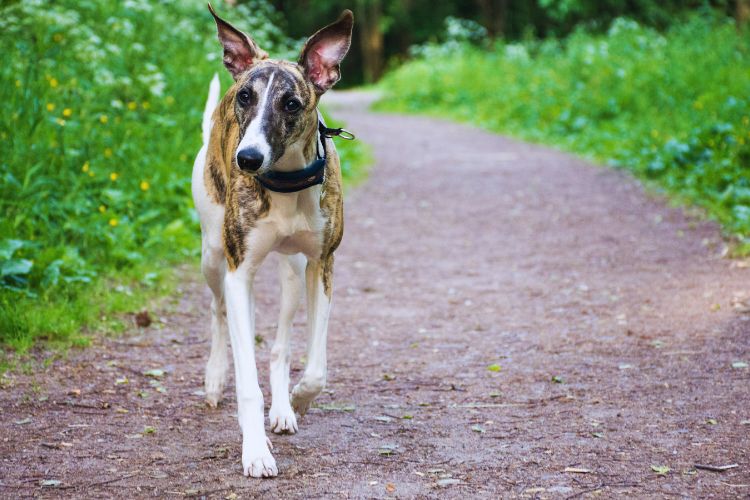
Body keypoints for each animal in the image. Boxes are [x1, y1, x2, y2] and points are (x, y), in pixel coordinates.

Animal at [191, 5, 356, 478]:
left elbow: (315, 368)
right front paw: (255, 452)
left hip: (292, 272)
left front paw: (298, 400)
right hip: (213, 256)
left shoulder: (323, 265)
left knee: (280, 345)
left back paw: (283, 408)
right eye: (246, 97)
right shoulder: (238, 271)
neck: (284, 181)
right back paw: (215, 378)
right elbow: (247, 382)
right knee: (219, 311)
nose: (247, 159)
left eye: (292, 103)